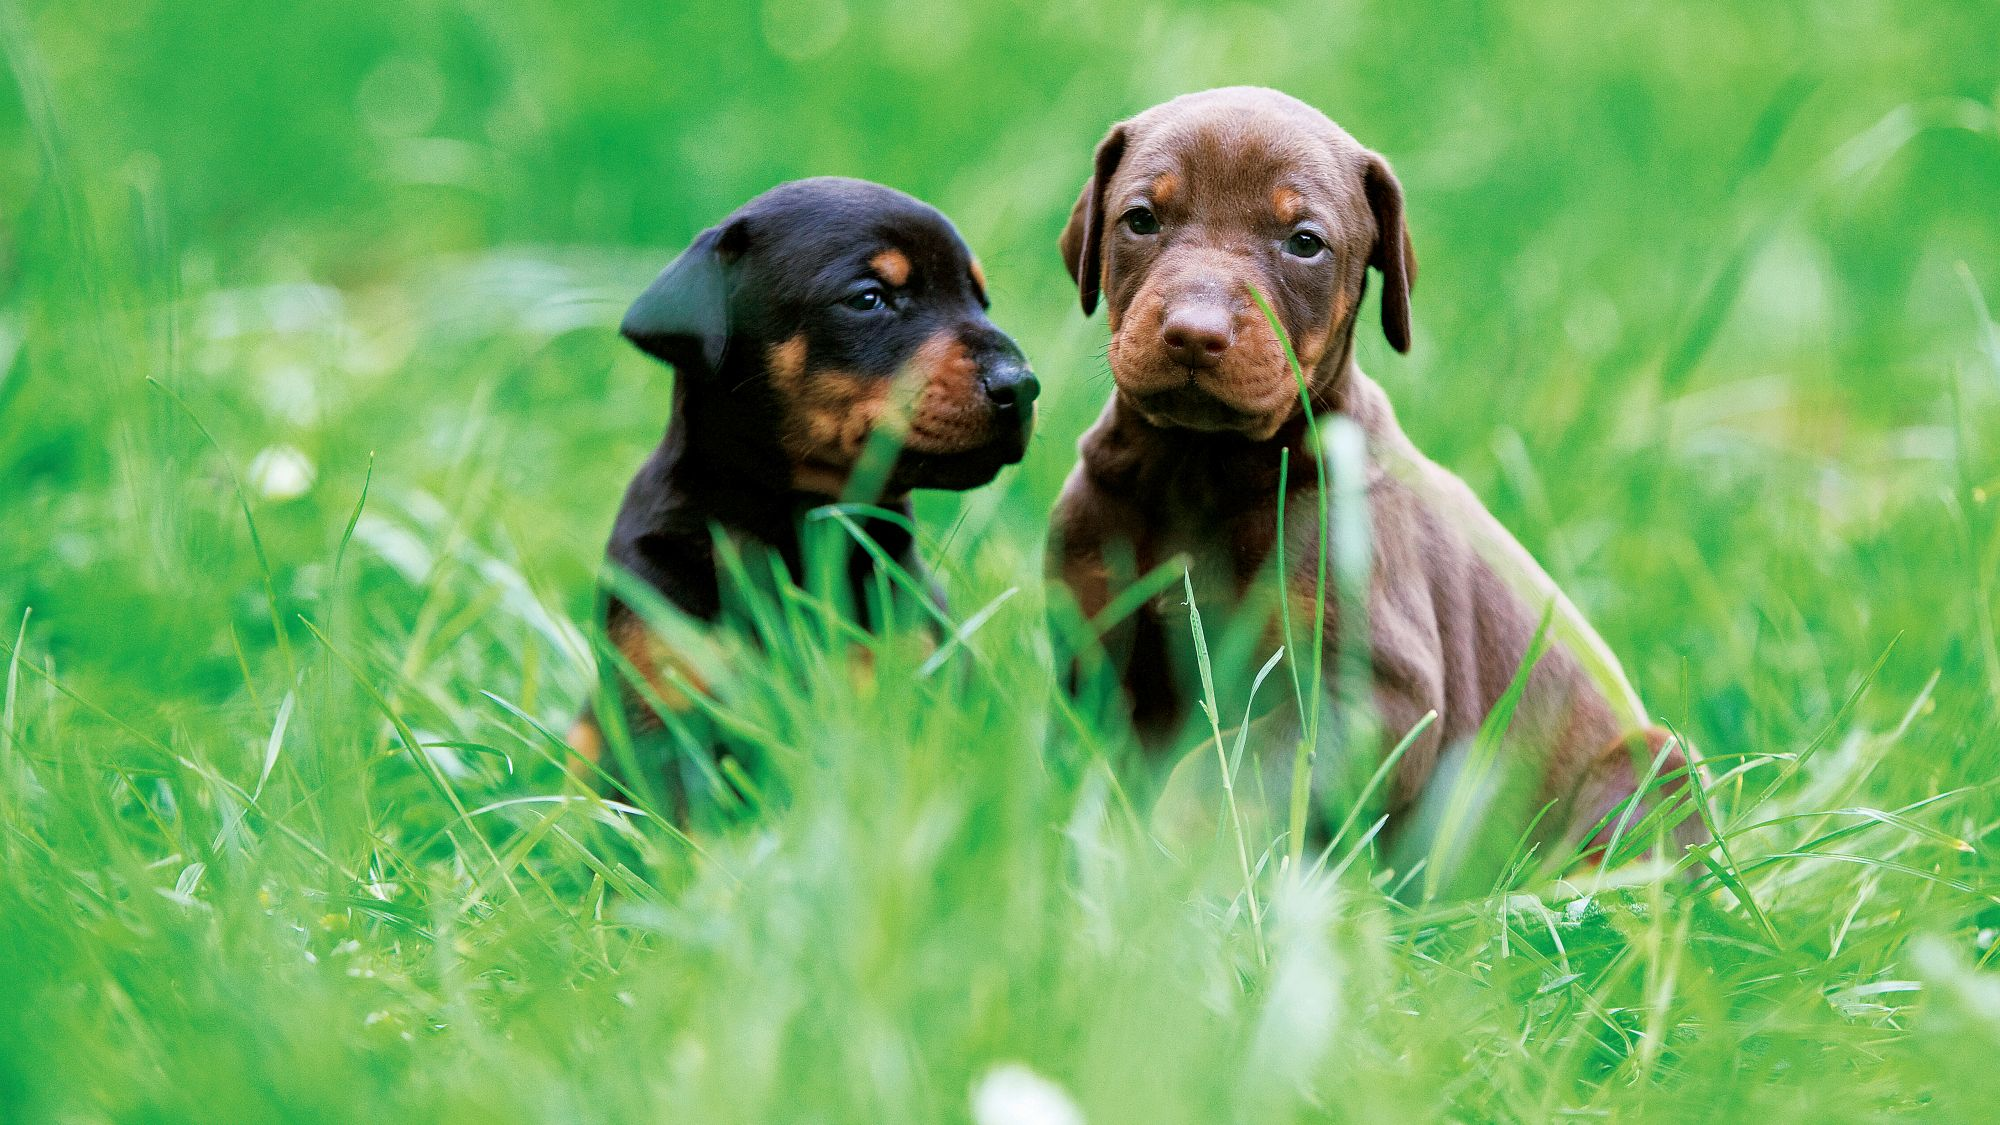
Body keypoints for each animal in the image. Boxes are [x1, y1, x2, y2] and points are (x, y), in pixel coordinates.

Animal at [1048, 87, 1704, 852]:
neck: (1198, 465)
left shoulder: (1371, 693)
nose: (1193, 332)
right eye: (1142, 219)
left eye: (1305, 241)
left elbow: (1217, 771)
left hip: (1652, 766)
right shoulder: (1094, 649)